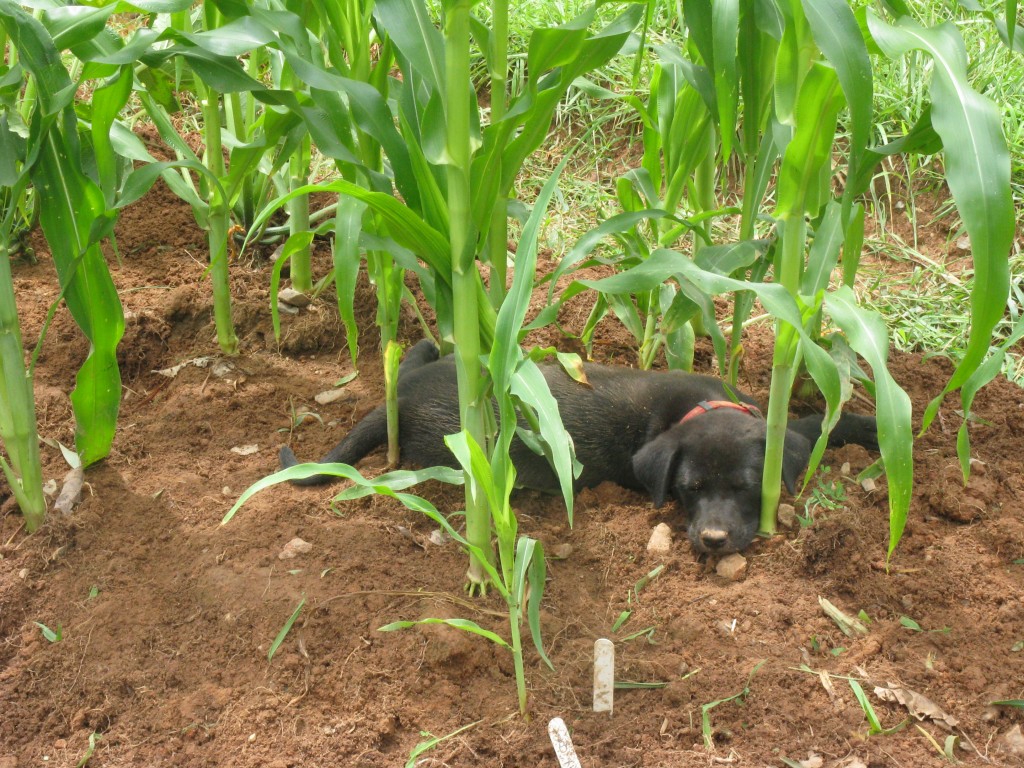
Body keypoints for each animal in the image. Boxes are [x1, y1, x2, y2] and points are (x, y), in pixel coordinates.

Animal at [282, 342, 880, 552]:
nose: (712, 541)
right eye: (687, 490)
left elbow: (815, 424)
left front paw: (874, 426)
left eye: (746, 487)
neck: (702, 404)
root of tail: (401, 398)